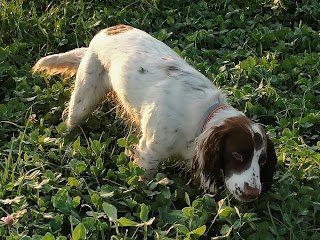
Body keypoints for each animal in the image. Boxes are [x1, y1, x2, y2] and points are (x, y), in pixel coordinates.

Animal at [33, 24, 278, 202]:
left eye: (263, 160)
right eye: (237, 154)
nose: (253, 194)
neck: (200, 118)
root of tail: (108, 29)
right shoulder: (150, 151)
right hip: (83, 99)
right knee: (71, 120)